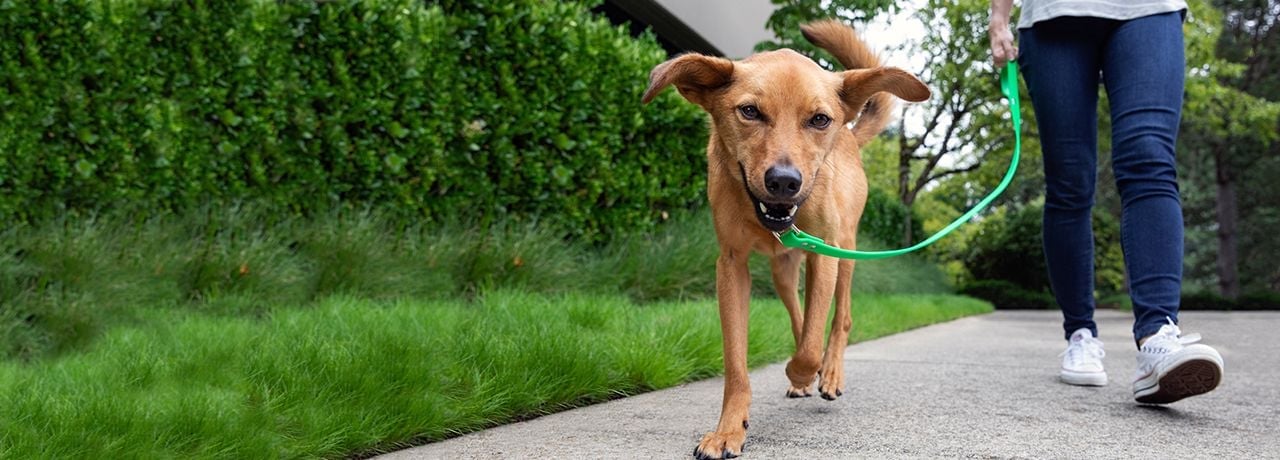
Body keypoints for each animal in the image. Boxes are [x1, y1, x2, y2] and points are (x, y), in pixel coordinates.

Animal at [645, 19, 926, 458]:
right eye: (749, 111)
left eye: (819, 119)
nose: (784, 182)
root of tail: (851, 131)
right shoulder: (731, 265)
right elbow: (738, 362)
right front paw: (728, 429)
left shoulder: (823, 255)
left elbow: (810, 347)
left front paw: (804, 372)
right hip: (784, 270)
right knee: (799, 315)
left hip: (843, 252)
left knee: (839, 319)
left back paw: (829, 374)